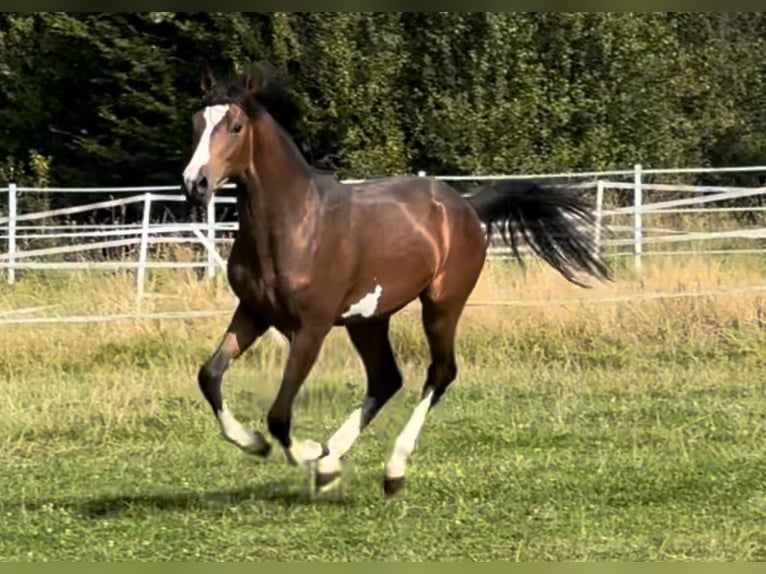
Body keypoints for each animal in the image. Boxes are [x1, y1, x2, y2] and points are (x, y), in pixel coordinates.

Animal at [178, 65, 612, 498]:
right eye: (197, 122)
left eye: (235, 126)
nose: (194, 184)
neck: (295, 224)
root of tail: (466, 207)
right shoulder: (253, 312)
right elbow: (209, 376)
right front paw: (258, 444)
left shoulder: (312, 327)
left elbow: (280, 414)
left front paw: (307, 452)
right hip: (368, 319)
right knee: (386, 378)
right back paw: (333, 461)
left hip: (441, 306)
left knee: (440, 373)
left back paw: (390, 469)